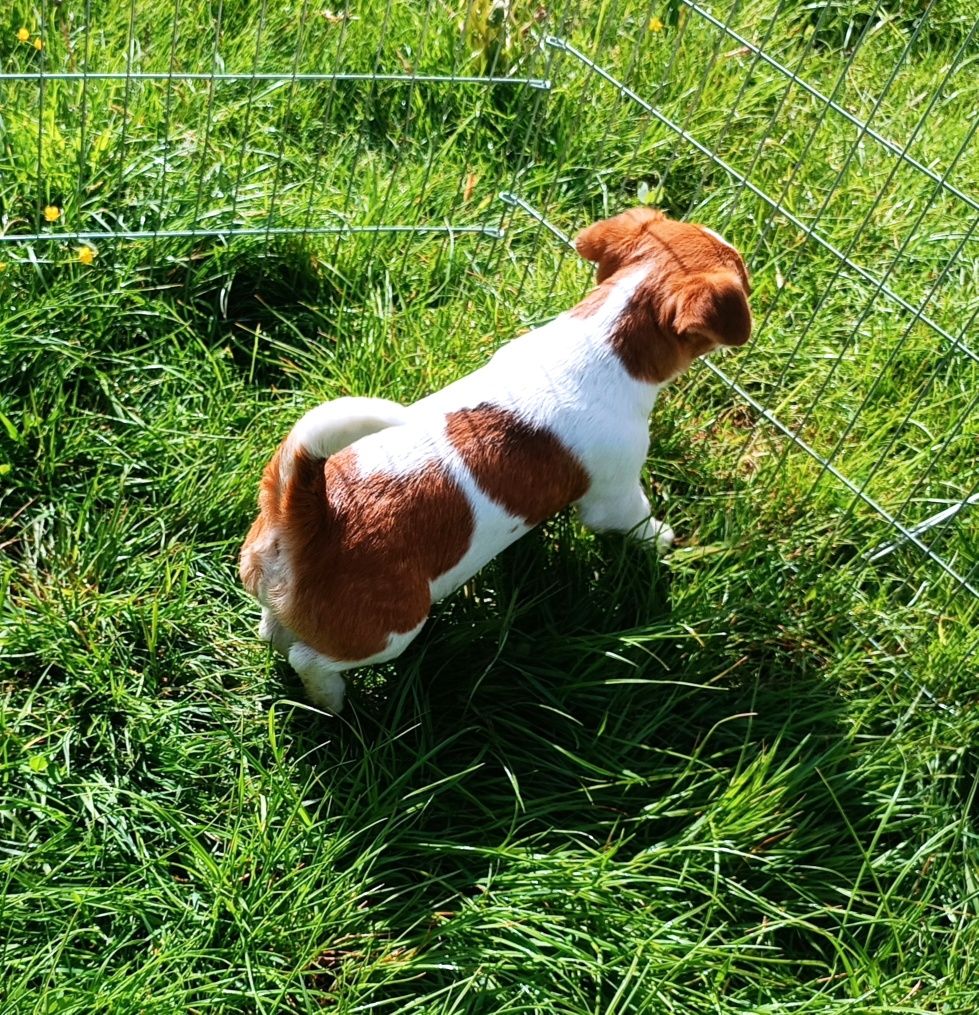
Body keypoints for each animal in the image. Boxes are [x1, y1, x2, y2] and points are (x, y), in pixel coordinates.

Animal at [240, 206, 750, 710]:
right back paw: (331, 702)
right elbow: (638, 521)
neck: (605, 338)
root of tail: (307, 516)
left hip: (279, 594)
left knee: (274, 632)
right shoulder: (615, 496)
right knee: (311, 661)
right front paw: (662, 539)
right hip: (390, 631)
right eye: (744, 273)